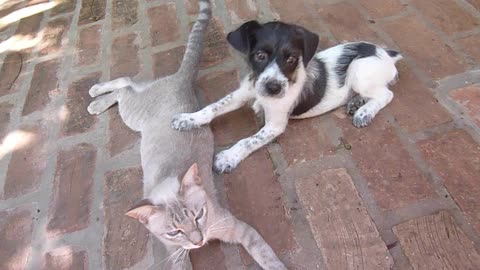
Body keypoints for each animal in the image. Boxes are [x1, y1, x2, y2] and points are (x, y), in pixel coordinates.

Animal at [86, 0, 284, 270]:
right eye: (174, 232)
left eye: (199, 215)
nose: (199, 241)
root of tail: (182, 80)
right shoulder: (175, 255)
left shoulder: (238, 228)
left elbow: (268, 257)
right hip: (133, 113)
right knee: (126, 85)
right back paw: (96, 96)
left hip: (133, 111)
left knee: (127, 84)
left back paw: (96, 96)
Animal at [172, 20, 402, 173]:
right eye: (260, 55)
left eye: (291, 58)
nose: (273, 88)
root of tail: (384, 52)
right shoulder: (242, 93)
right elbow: (213, 107)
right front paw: (188, 118)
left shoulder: (275, 124)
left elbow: (248, 141)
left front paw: (228, 156)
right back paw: (356, 102)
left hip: (358, 71)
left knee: (386, 94)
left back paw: (364, 112)